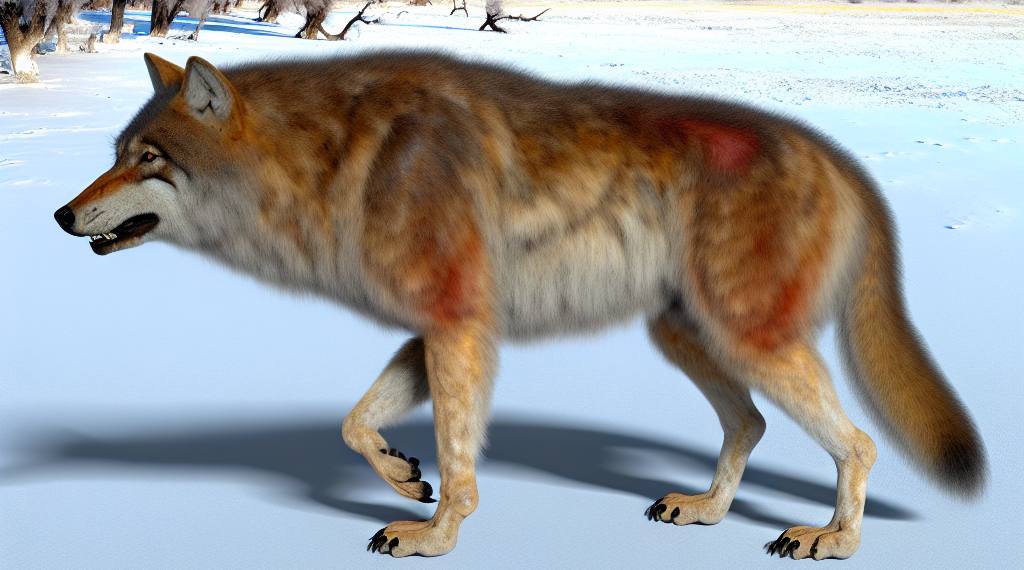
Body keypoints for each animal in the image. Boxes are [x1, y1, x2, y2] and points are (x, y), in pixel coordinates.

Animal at [54, 51, 986, 559]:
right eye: (116, 153)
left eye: (147, 159)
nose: (62, 215)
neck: (331, 167)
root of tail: (837, 158)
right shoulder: (440, 326)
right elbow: (356, 425)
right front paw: (402, 478)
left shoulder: (458, 327)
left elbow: (461, 465)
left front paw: (434, 537)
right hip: (689, 338)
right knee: (750, 425)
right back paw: (706, 511)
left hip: (747, 338)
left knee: (859, 444)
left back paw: (832, 539)